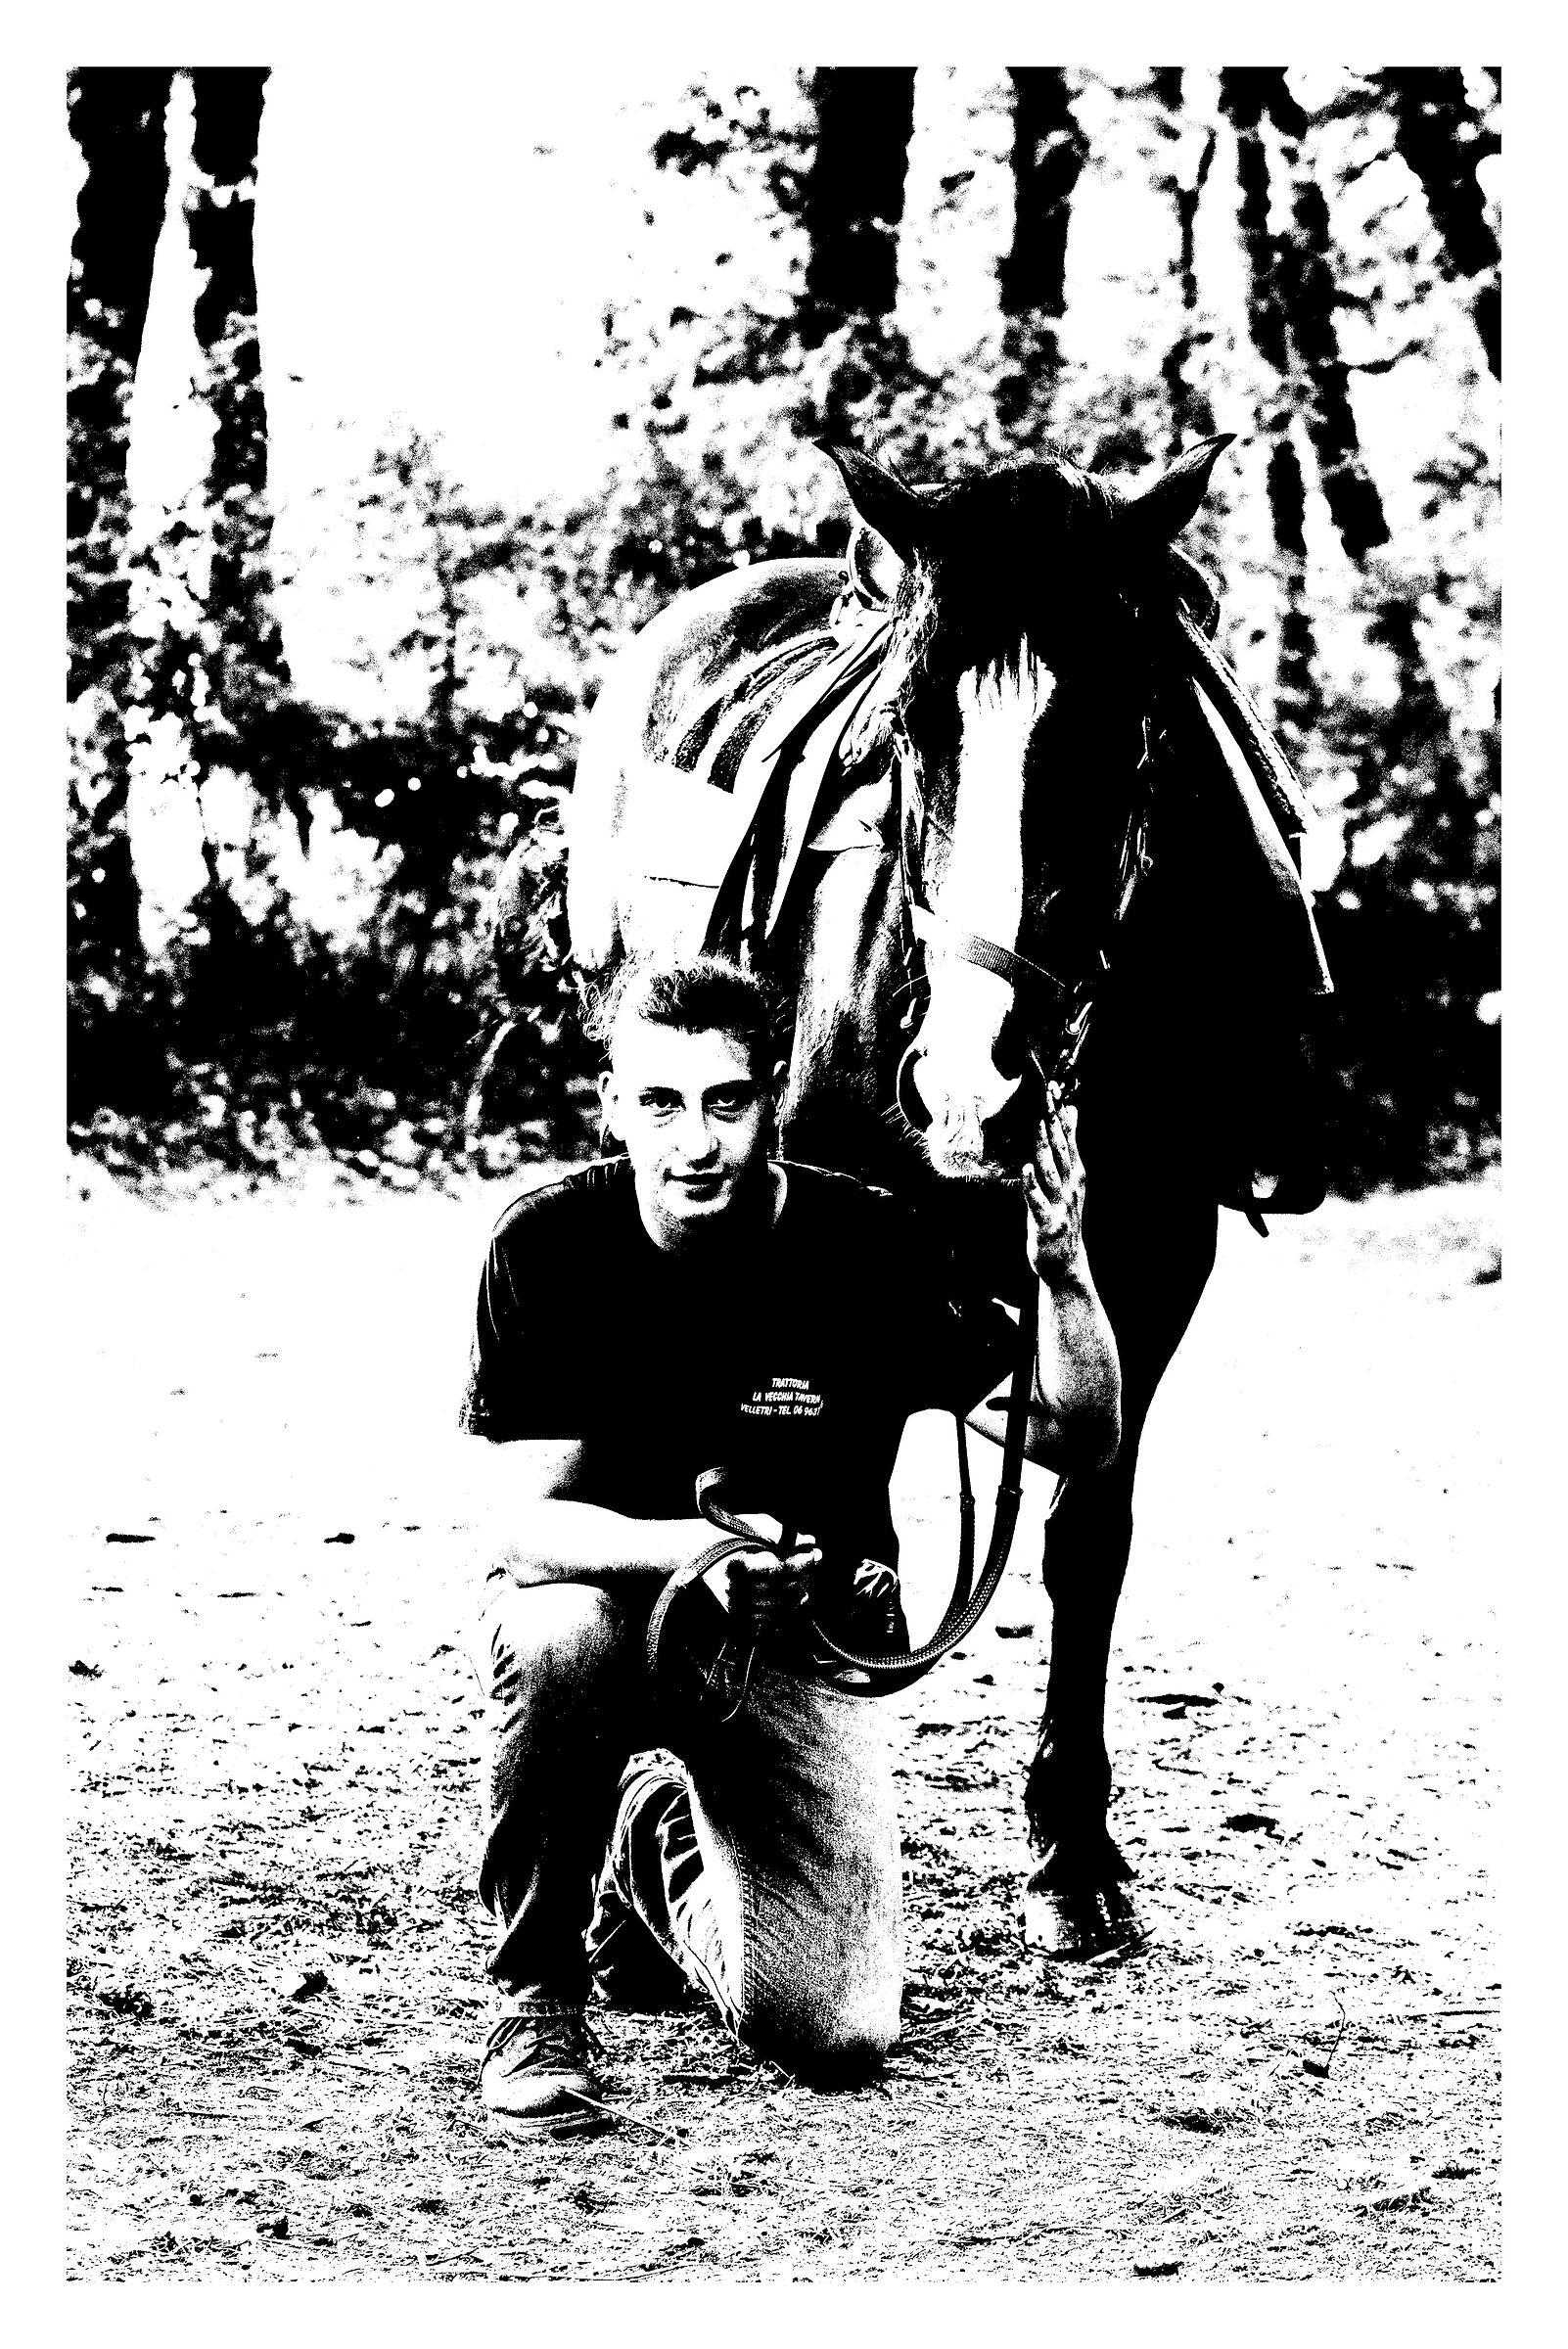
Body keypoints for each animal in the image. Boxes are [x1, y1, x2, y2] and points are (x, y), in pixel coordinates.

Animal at [557, 432, 1333, 1956]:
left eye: (1123, 737)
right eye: (906, 741)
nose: (974, 1086)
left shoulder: (1154, 1259)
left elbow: (1086, 1532)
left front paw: (1073, 1847)